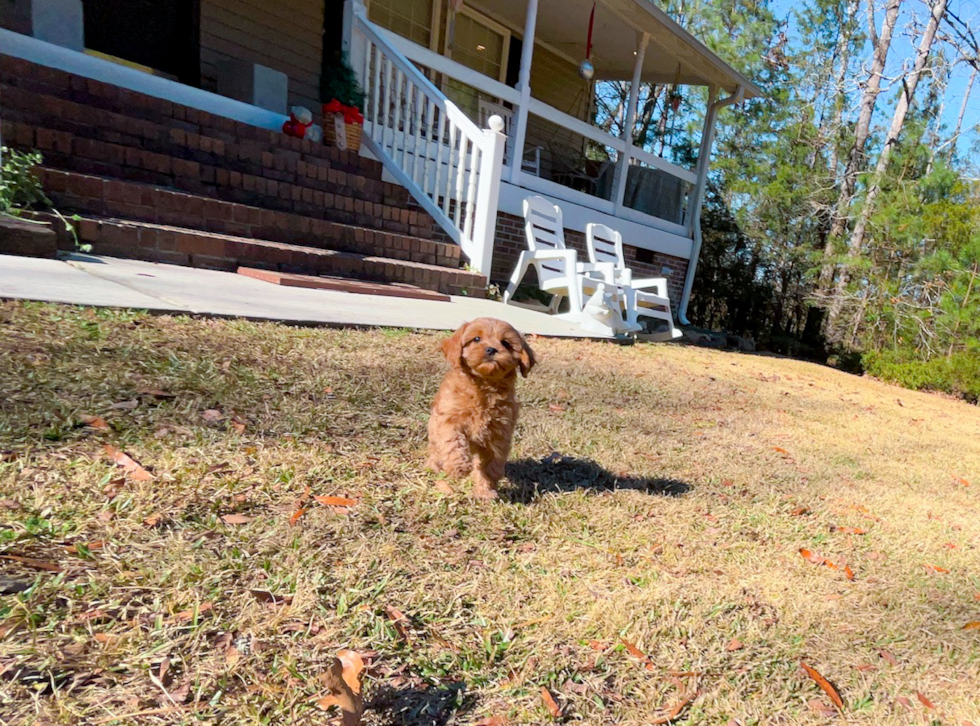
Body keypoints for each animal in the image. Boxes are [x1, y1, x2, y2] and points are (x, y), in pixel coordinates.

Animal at [428, 318, 536, 500]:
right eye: (476, 339)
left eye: (505, 343)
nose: (491, 349)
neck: (484, 386)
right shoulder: (448, 418)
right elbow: (452, 441)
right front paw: (458, 466)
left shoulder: (499, 430)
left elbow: (491, 461)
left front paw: (486, 487)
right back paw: (434, 466)